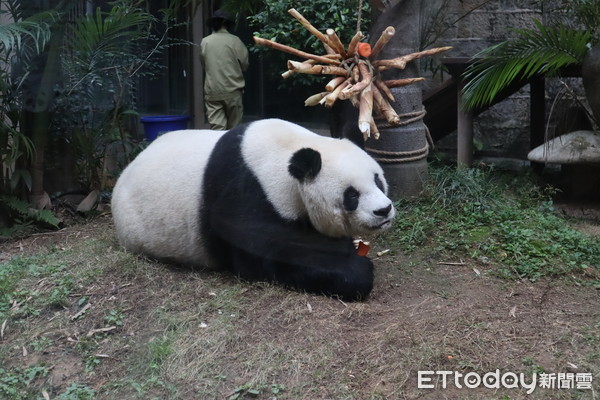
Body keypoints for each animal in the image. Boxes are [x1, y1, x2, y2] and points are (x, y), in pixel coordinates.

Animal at [111, 119, 394, 300]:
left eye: (378, 180)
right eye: (351, 195)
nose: (383, 211)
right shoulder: (247, 193)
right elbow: (266, 253)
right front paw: (358, 270)